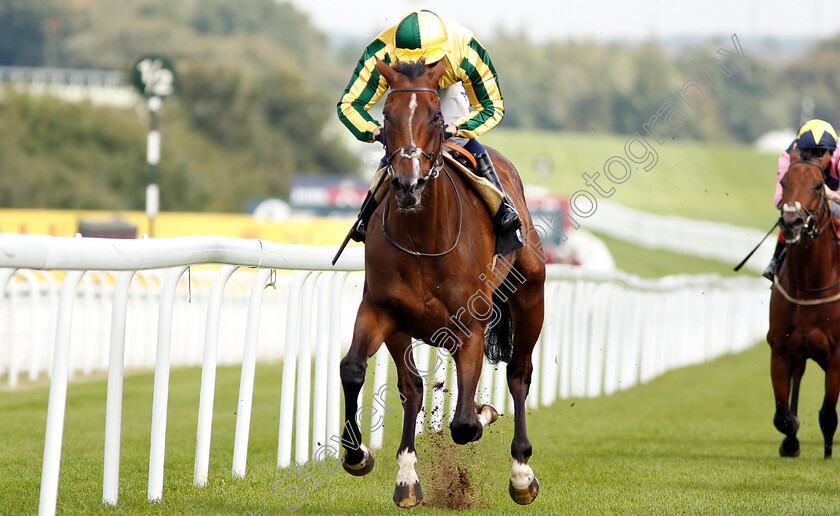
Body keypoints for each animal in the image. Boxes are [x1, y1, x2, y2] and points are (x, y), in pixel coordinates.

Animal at [338, 57, 548, 508]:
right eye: (385, 116)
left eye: (436, 117)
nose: (408, 183)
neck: (424, 240)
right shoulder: (380, 310)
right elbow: (355, 369)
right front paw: (358, 454)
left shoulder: (470, 326)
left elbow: (465, 424)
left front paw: (484, 413)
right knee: (412, 387)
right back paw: (406, 478)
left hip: (530, 296)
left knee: (519, 374)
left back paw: (521, 472)